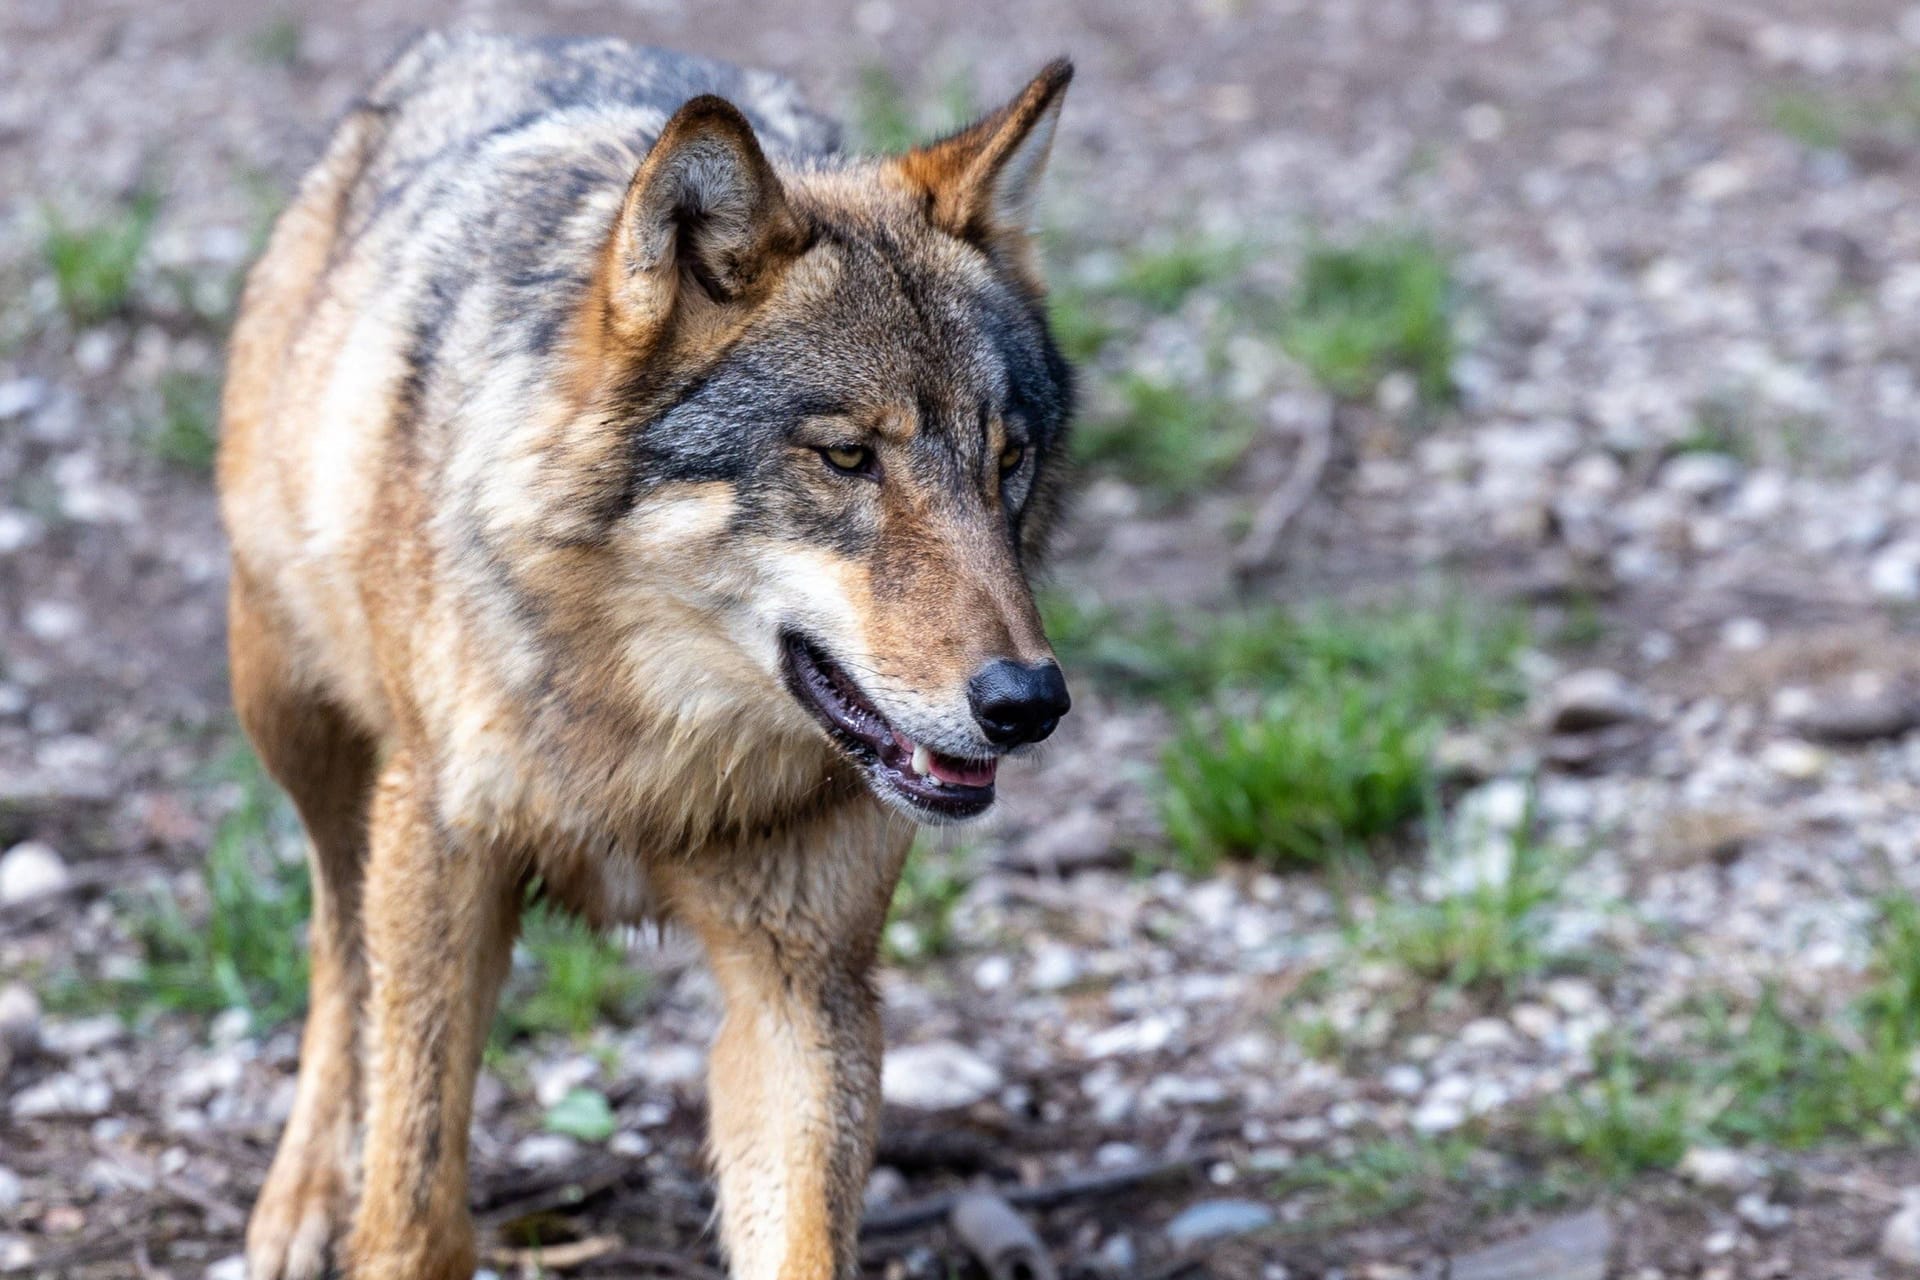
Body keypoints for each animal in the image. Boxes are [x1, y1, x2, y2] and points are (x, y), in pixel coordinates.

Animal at [220, 29, 1082, 1280]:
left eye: (1007, 459)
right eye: (847, 457)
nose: (1029, 701)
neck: (654, 749)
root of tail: (502, 33)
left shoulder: (802, 979)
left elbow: (803, 1238)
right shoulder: (441, 856)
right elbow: (415, 1199)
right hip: (301, 722)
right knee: (338, 943)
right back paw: (300, 1200)